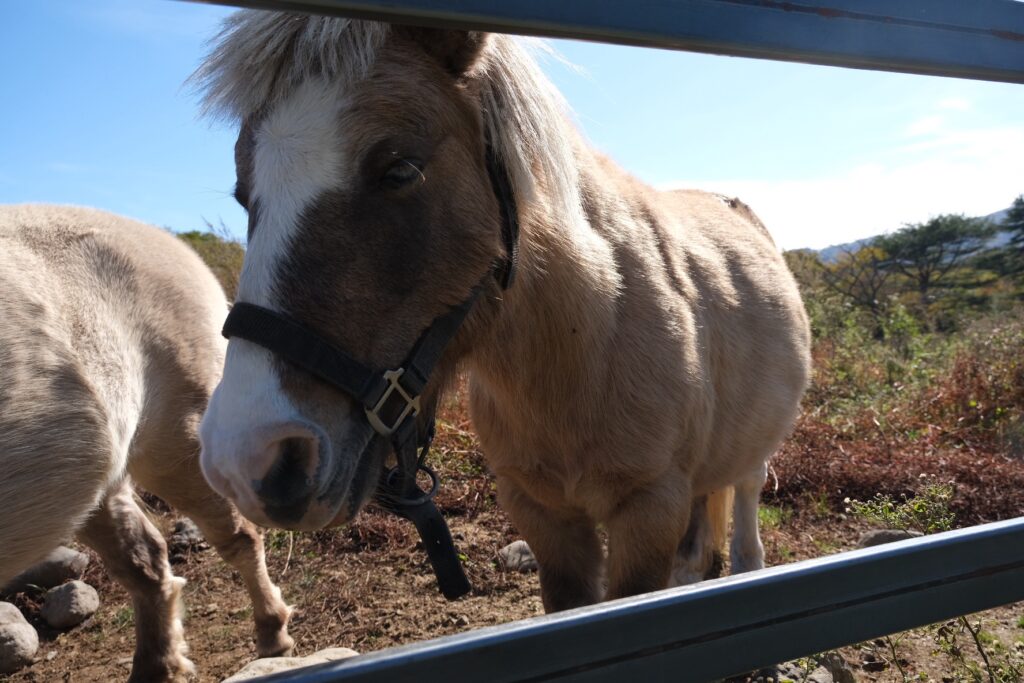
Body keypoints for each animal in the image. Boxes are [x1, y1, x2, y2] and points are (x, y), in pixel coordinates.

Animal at [0, 205, 293, 681]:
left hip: (179, 442)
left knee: (237, 536)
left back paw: (272, 635)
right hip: (97, 479)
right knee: (145, 560)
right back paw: (159, 666)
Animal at [194, 11, 811, 613]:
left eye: (401, 170)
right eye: (244, 195)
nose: (245, 458)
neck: (586, 346)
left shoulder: (649, 507)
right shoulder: (542, 514)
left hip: (755, 450)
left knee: (747, 497)